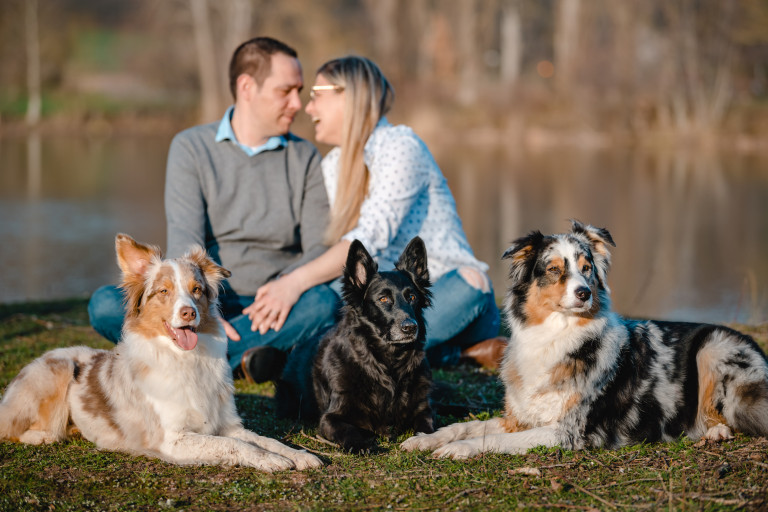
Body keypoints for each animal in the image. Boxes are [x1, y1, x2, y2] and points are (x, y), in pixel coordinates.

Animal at [0, 233, 320, 472]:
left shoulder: (226, 424)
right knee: (13, 428)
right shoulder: (172, 439)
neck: (187, 360)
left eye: (197, 289)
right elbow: (234, 445)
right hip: (59, 367)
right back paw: (42, 436)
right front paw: (272, 461)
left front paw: (298, 454)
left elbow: (263, 439)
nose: (189, 313)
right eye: (164, 291)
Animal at [276, 238, 436, 450]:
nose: (410, 327)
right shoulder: (330, 418)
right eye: (383, 299)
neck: (388, 361)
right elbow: (348, 430)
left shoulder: (423, 409)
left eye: (412, 297)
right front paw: (363, 444)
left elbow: (427, 426)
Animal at [402, 222, 768, 458]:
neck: (553, 336)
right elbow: (467, 426)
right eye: (553, 269)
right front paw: (426, 440)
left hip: (715, 348)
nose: (584, 293)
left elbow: (489, 441)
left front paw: (456, 449)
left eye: (587, 267)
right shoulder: (517, 419)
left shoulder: (568, 430)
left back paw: (715, 430)